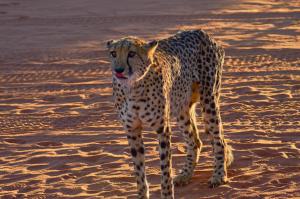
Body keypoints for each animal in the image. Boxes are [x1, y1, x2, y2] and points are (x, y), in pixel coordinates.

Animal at [106, 28, 233, 198]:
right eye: (113, 53)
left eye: (131, 53)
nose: (118, 70)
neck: (133, 86)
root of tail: (201, 32)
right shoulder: (132, 129)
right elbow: (139, 170)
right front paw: (142, 194)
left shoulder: (162, 128)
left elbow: (165, 168)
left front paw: (167, 194)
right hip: (182, 108)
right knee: (195, 141)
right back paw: (185, 175)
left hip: (209, 99)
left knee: (219, 140)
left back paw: (219, 175)